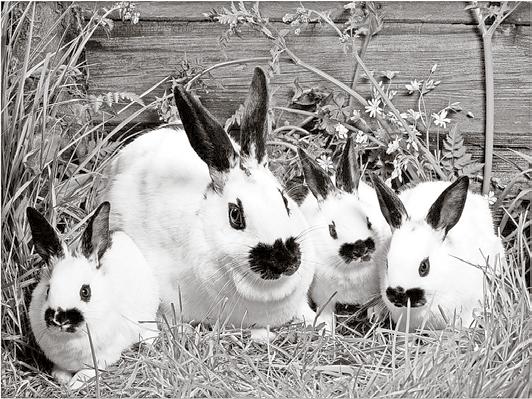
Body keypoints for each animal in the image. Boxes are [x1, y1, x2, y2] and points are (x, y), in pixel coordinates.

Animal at [27, 203, 159, 388]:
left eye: (85, 292)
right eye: (48, 290)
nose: (60, 319)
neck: (70, 338)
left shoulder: (103, 357)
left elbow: (87, 372)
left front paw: (73, 384)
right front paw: (61, 378)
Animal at [296, 139, 390, 332]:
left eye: (368, 221)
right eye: (332, 230)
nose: (360, 248)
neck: (353, 270)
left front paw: (375, 317)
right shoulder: (324, 295)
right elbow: (325, 311)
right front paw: (326, 330)